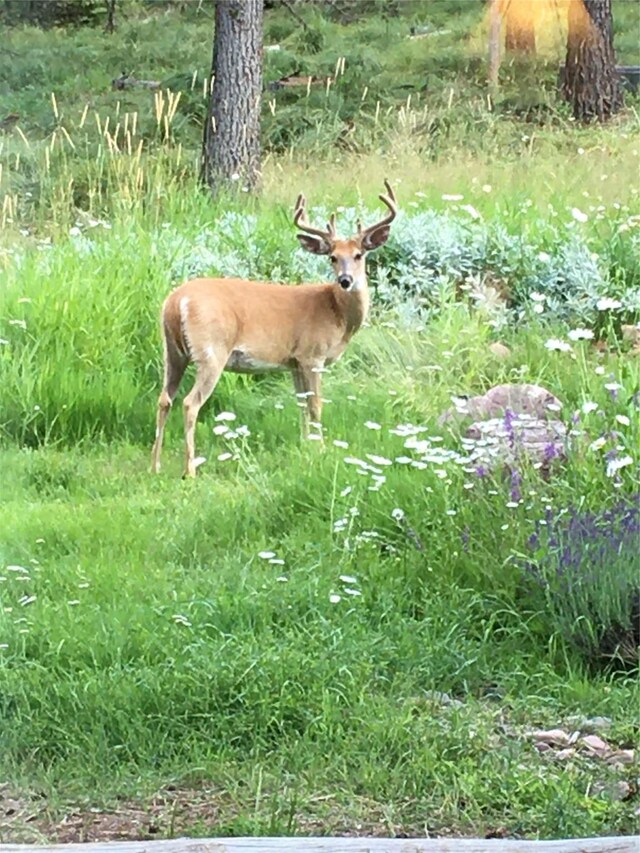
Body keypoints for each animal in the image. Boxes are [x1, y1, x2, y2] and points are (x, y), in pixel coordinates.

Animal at [152, 180, 398, 476]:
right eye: (332, 257)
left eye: (359, 255)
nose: (346, 280)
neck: (336, 313)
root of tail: (177, 302)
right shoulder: (312, 355)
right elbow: (315, 404)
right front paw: (321, 449)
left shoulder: (294, 361)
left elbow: (301, 403)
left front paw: (306, 445)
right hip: (211, 351)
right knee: (190, 403)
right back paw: (190, 470)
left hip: (172, 351)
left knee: (164, 399)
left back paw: (155, 465)